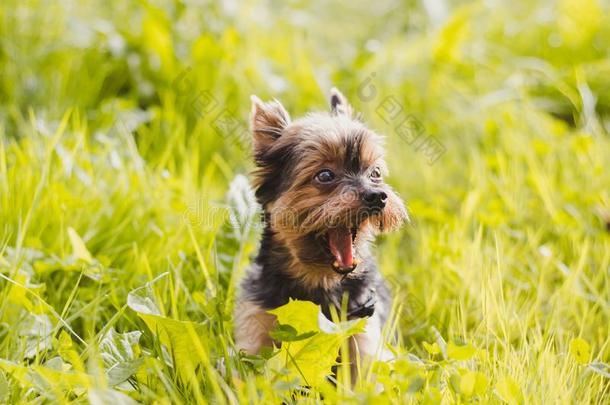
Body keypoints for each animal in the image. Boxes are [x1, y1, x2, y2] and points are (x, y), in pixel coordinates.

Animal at [235, 87, 406, 370]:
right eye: (325, 176)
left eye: (375, 173)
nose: (377, 196)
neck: (320, 282)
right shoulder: (257, 324)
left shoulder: (362, 328)